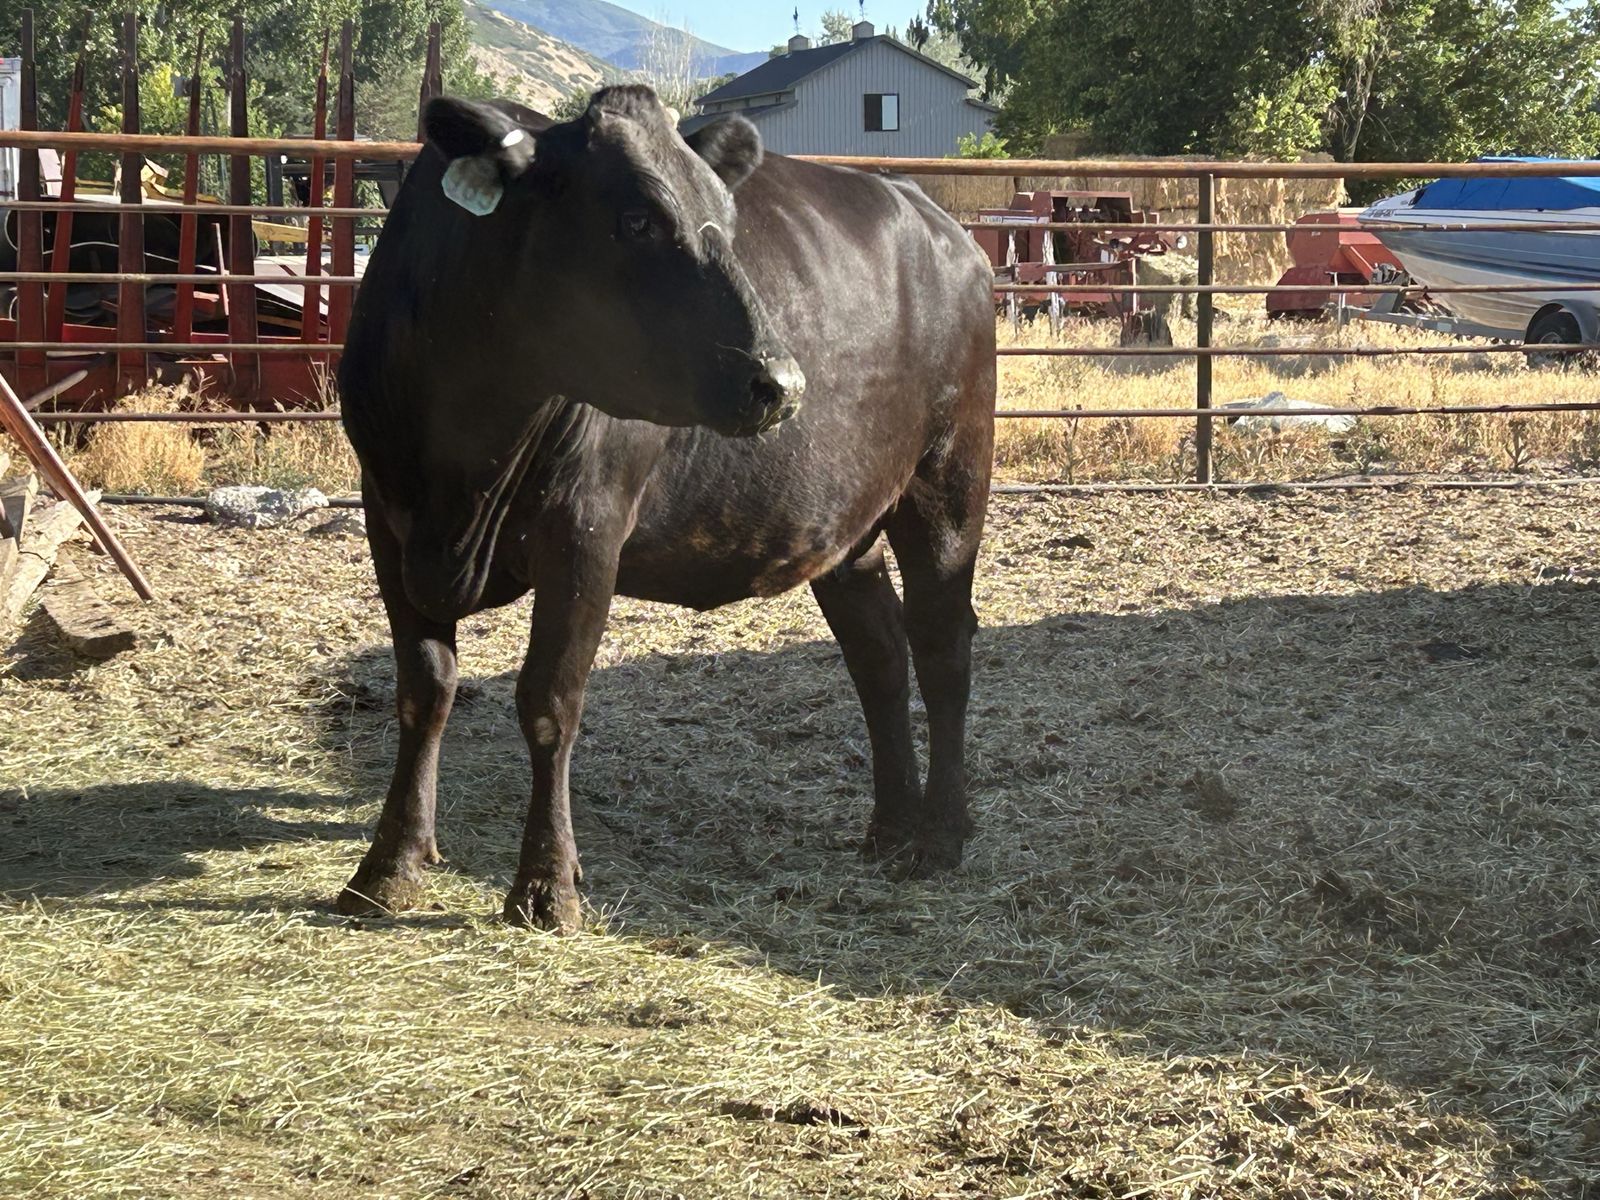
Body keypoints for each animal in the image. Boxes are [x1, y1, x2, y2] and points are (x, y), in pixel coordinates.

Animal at [335, 86, 995, 932]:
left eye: (727, 217)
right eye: (637, 219)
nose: (781, 381)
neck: (466, 451)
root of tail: (940, 220)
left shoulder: (587, 527)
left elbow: (549, 699)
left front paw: (547, 888)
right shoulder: (388, 519)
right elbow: (424, 690)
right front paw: (389, 866)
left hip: (949, 478)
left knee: (941, 642)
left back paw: (940, 834)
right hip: (849, 524)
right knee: (877, 652)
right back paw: (890, 824)